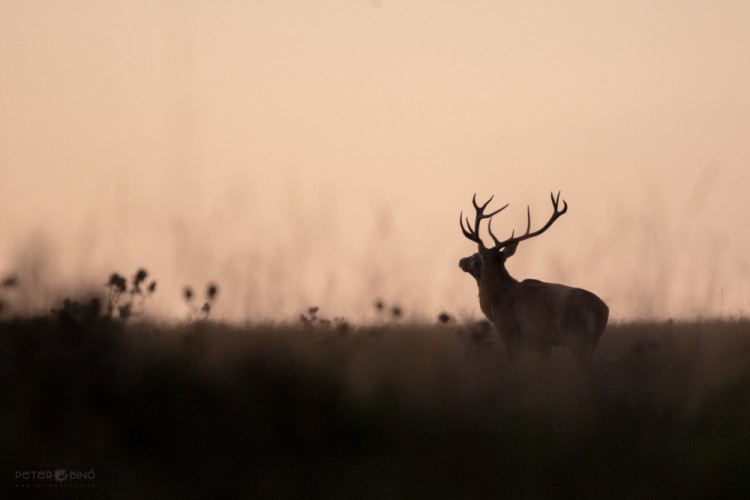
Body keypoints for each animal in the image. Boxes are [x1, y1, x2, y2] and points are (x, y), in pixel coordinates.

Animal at [458, 191, 612, 360]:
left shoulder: (510, 335)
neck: (497, 300)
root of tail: (597, 308)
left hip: (576, 338)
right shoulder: (543, 344)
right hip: (592, 341)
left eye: (475, 257)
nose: (461, 260)